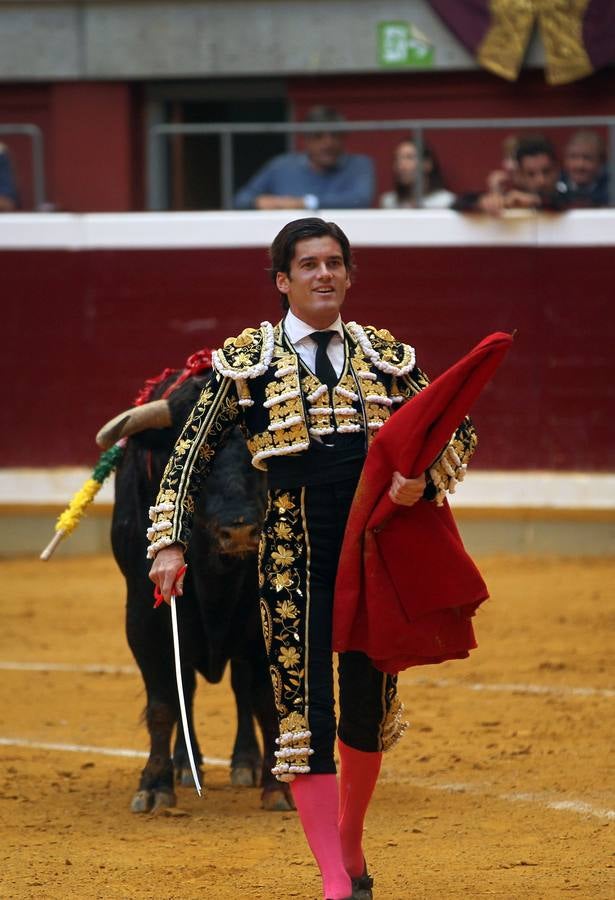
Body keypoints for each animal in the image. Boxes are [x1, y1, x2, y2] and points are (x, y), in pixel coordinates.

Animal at [109, 372, 294, 816]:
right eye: (195, 457)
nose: (239, 531)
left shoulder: (258, 623)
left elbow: (264, 701)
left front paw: (275, 789)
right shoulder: (145, 620)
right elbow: (164, 703)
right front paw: (154, 786)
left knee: (241, 689)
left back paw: (244, 762)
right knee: (186, 692)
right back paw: (183, 765)